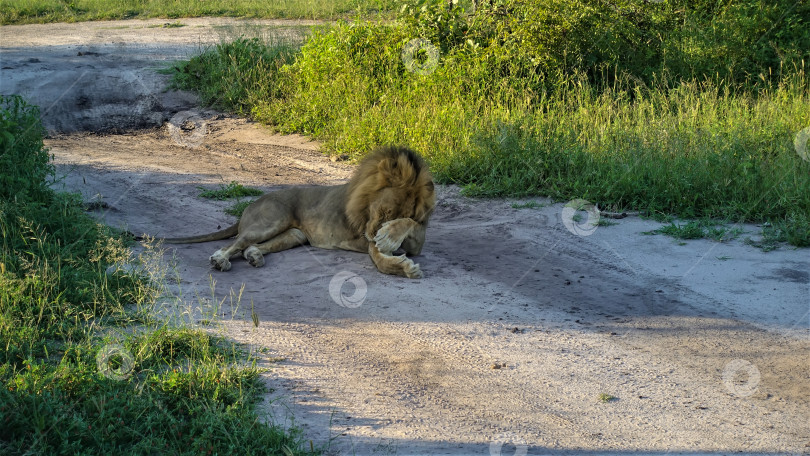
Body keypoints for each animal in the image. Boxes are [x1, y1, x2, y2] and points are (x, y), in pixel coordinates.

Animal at [160, 146, 432, 278]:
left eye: (394, 214)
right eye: (384, 211)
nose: (376, 234)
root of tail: (251, 204)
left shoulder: (415, 240)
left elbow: (412, 224)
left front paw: (395, 249)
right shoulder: (367, 233)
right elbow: (378, 258)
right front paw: (403, 266)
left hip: (294, 234)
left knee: (249, 247)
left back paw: (254, 257)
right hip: (272, 219)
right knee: (235, 243)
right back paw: (220, 260)